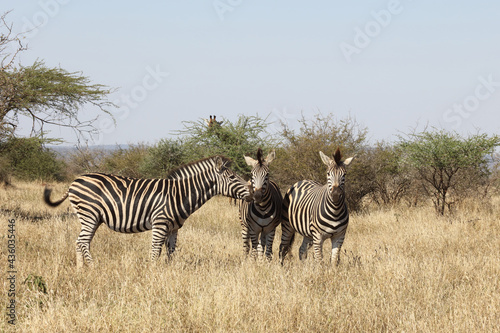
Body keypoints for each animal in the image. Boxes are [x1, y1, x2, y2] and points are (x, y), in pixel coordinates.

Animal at [43, 156, 252, 268]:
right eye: (233, 177)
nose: (253, 193)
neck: (180, 194)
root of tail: (74, 182)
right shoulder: (160, 223)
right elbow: (154, 251)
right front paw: (153, 273)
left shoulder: (173, 228)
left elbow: (170, 251)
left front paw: (168, 271)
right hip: (90, 215)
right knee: (83, 242)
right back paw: (93, 268)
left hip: (90, 218)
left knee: (79, 242)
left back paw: (81, 269)